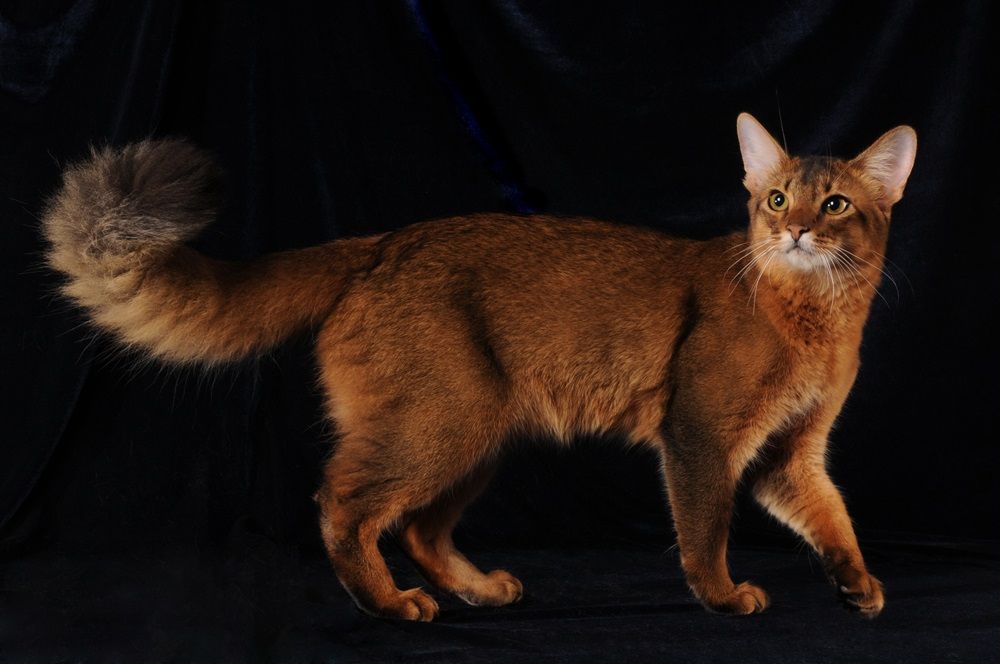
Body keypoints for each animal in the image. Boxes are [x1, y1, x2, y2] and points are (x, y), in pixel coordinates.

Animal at [41, 113, 916, 616]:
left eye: (836, 205)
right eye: (776, 200)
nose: (796, 231)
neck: (815, 317)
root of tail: (379, 244)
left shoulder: (788, 453)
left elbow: (833, 516)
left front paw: (858, 583)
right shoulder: (700, 433)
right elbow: (704, 527)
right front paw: (723, 597)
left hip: (480, 431)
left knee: (418, 526)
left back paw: (474, 589)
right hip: (443, 421)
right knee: (342, 500)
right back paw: (389, 605)